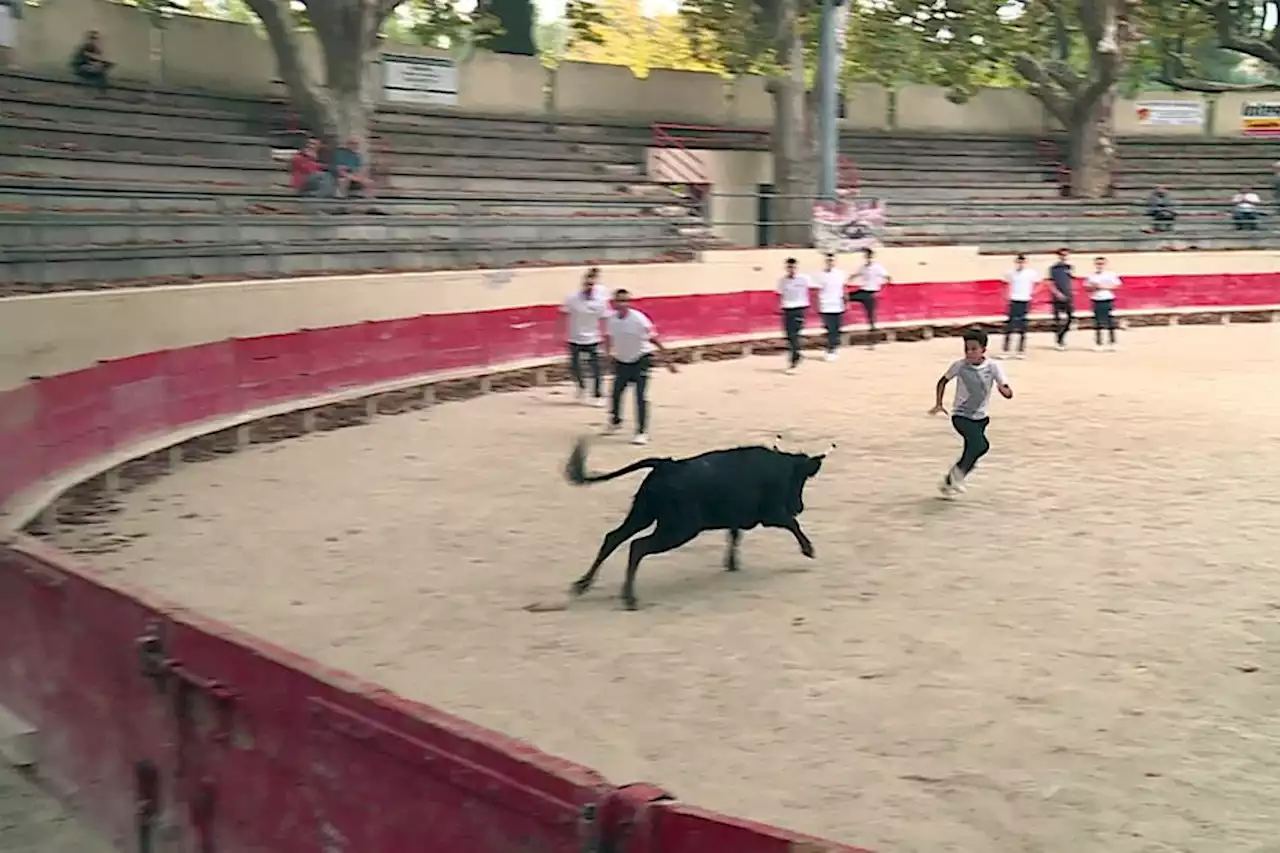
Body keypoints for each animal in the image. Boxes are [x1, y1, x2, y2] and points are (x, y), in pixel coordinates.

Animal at [563, 435, 829, 607]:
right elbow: (792, 525)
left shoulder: (737, 516)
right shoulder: (771, 514)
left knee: (614, 538)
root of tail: (666, 465)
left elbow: (734, 535)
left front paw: (731, 563)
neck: (781, 467)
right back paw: (629, 598)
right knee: (637, 547)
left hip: (642, 514)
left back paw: (582, 585)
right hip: (678, 529)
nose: (799, 507)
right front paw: (809, 549)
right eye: (801, 480)